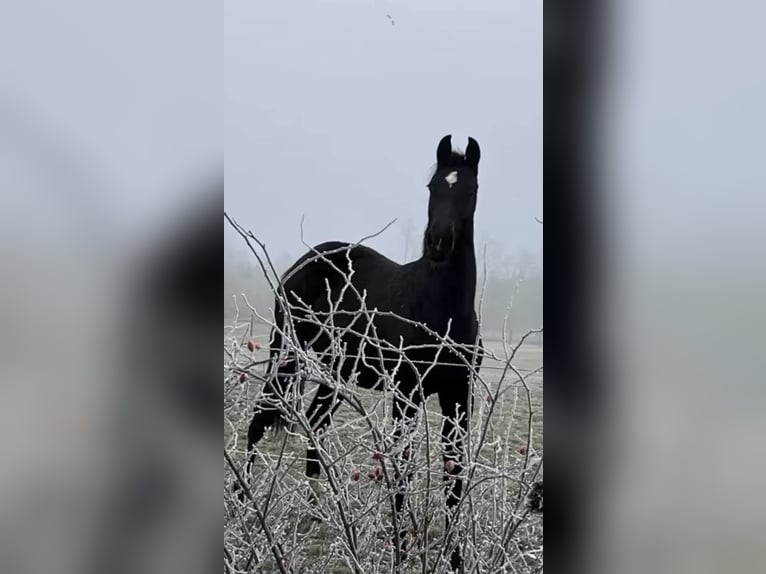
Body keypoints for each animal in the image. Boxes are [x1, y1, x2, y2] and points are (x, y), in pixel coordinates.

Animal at [243, 135, 483, 571]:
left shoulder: (458, 395)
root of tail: (302, 263)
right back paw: (247, 504)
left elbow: (454, 475)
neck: (439, 309)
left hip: (336, 374)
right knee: (259, 418)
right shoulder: (407, 394)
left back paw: (320, 512)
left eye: (470, 190)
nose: (438, 242)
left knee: (315, 425)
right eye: (431, 187)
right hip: (286, 357)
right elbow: (403, 468)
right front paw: (400, 550)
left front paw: (456, 557)